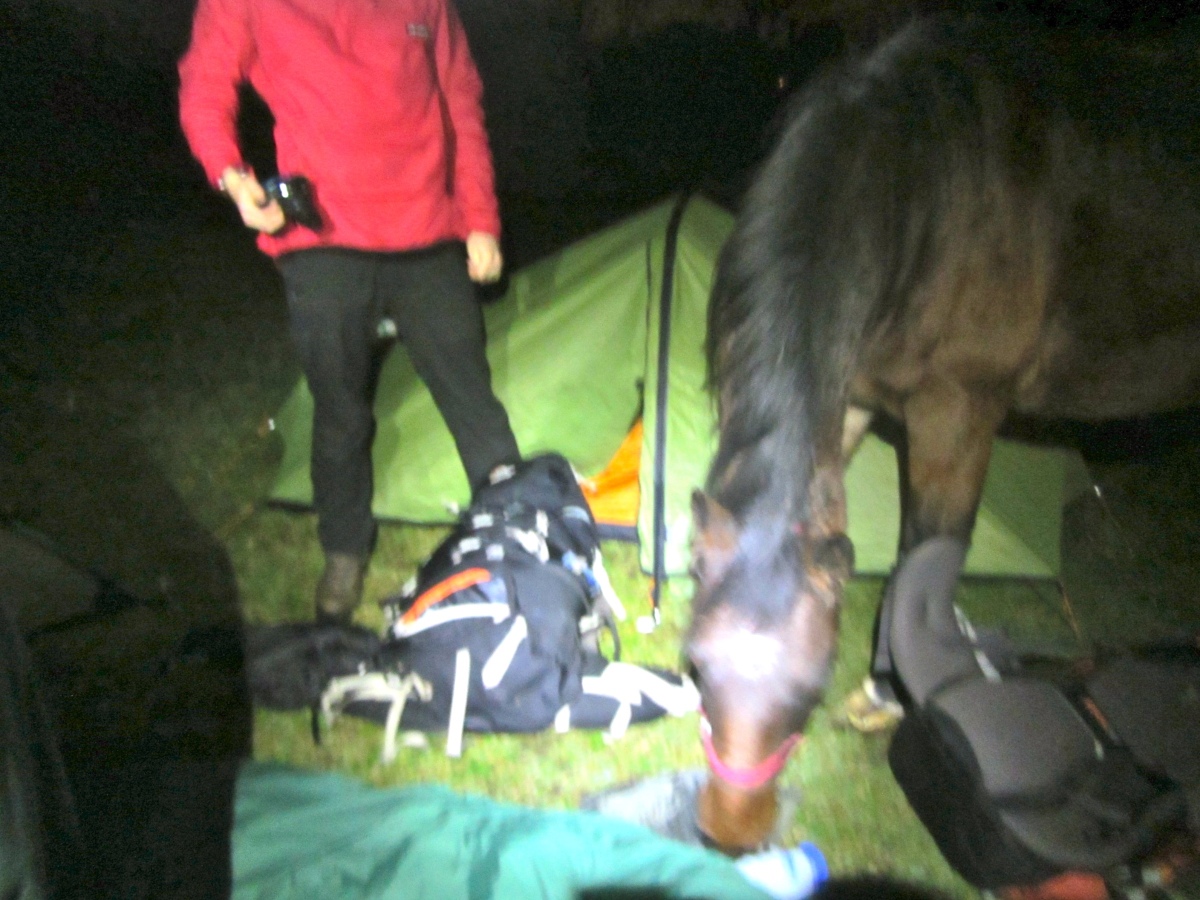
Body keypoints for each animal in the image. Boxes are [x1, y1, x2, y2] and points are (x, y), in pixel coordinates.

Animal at [691, 17, 1200, 854]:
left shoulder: (958, 413)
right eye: (698, 666)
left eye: (811, 686)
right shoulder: (854, 398)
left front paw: (889, 691)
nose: (730, 838)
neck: (935, 188)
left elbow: (924, 557)